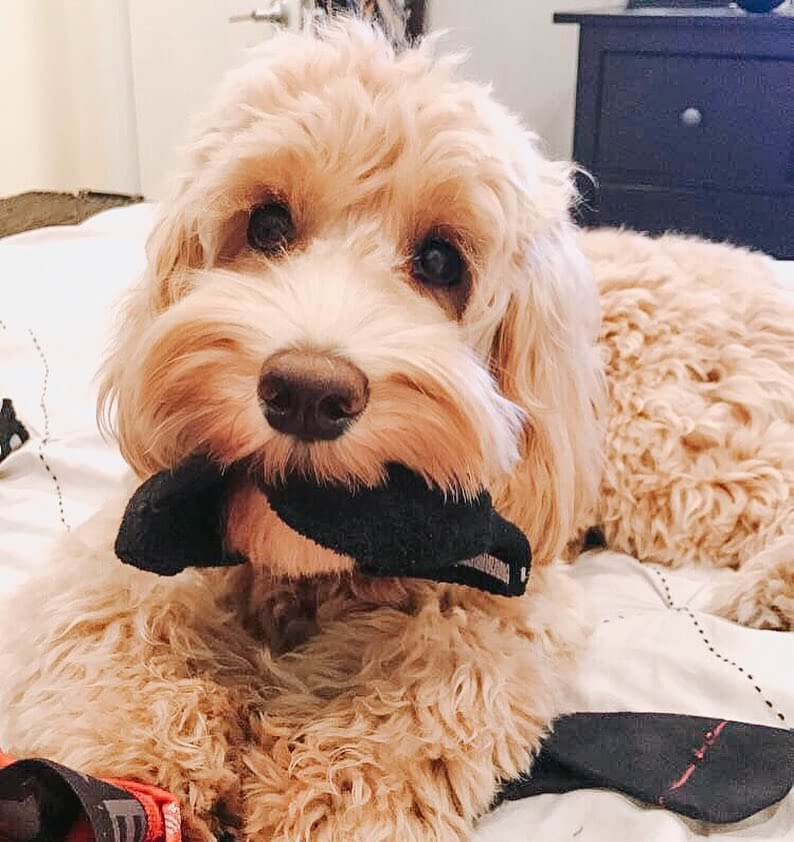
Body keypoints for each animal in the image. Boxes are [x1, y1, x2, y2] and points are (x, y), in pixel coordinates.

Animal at [0, 14, 788, 840]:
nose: (306, 393)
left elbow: (422, 691)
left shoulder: (503, 592)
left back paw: (770, 590)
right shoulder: (122, 551)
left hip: (664, 451)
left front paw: (323, 794)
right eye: (267, 224)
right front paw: (138, 771)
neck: (311, 566)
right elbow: (115, 647)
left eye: (441, 261)